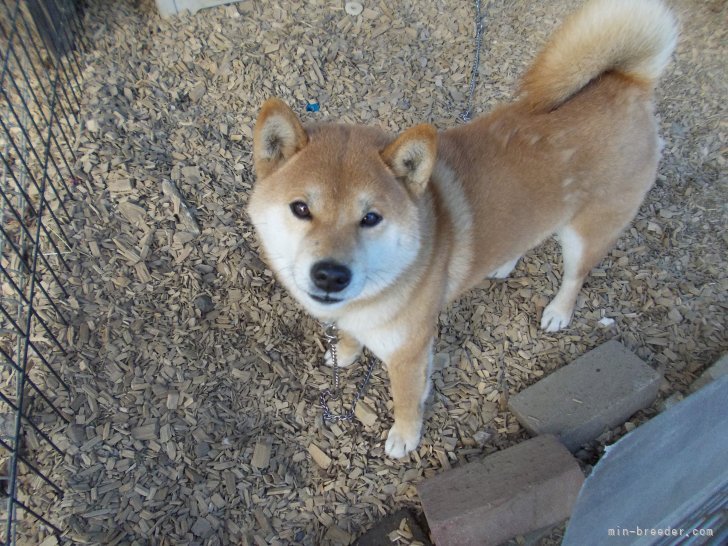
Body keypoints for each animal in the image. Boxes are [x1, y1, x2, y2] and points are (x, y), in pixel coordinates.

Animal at [249, 0, 676, 454]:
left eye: (371, 218)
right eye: (300, 208)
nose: (330, 275)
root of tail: (629, 82)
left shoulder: (410, 352)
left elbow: (406, 398)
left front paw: (405, 436)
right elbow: (349, 338)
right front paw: (345, 353)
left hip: (587, 233)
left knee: (575, 276)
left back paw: (558, 312)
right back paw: (504, 264)